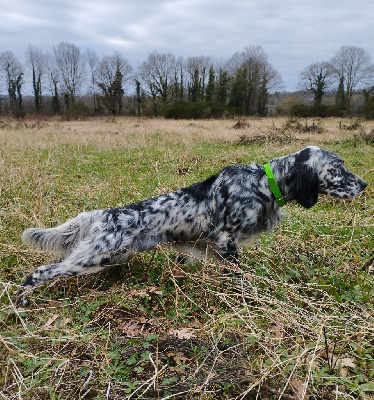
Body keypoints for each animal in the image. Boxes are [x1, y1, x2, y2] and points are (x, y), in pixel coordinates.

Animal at [16, 145, 366, 304]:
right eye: (337, 167)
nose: (363, 184)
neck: (264, 183)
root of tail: (104, 213)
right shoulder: (224, 239)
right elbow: (237, 274)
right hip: (95, 256)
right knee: (40, 272)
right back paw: (21, 301)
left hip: (110, 255)